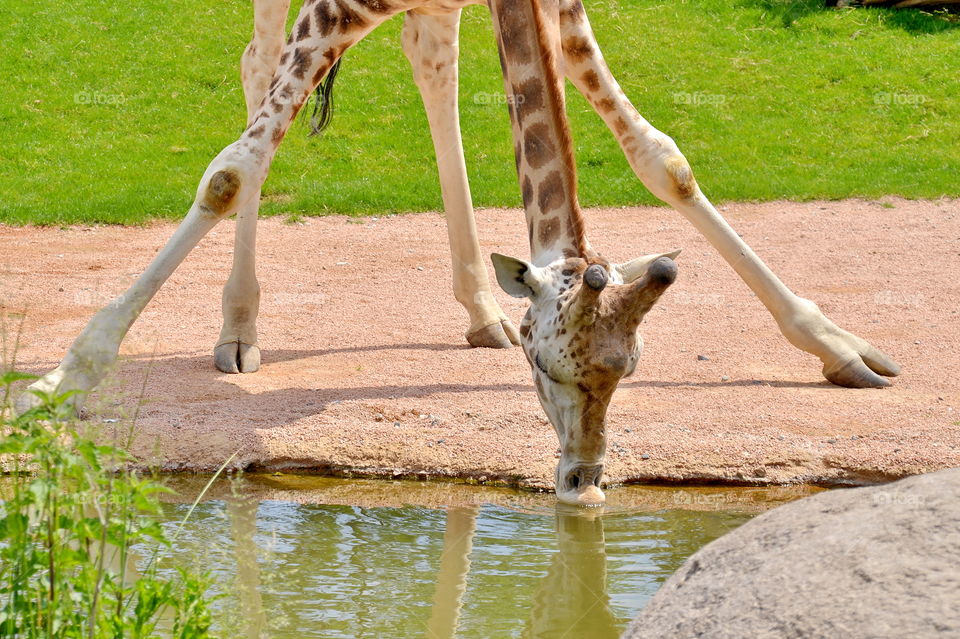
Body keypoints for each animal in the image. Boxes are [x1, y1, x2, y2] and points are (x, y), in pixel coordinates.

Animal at [17, 0, 900, 505]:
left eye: (629, 369)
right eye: (548, 367)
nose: (583, 479)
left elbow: (661, 157)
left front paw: (838, 344)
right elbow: (233, 171)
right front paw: (64, 376)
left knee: (430, 55)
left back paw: (480, 306)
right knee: (258, 62)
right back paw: (239, 329)